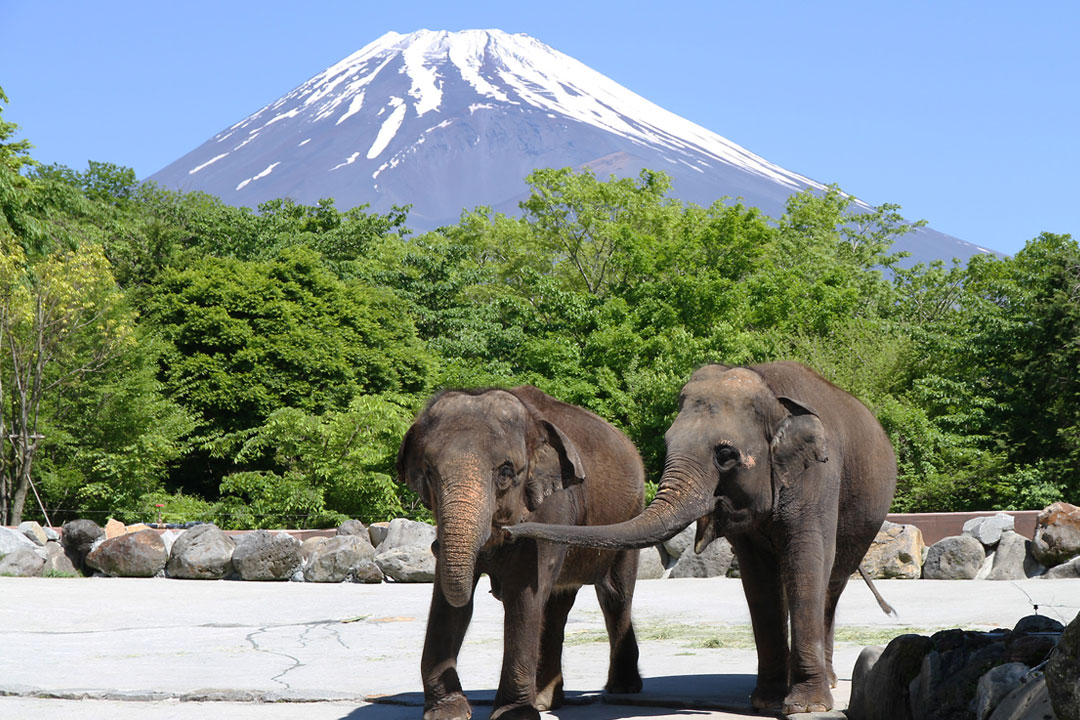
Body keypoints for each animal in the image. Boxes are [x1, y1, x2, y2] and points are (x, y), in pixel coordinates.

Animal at [401, 386, 643, 720]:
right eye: (428, 472)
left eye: (505, 472)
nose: (434, 545)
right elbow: (448, 602)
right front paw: (447, 712)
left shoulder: (552, 511)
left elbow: (523, 597)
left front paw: (514, 715)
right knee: (557, 606)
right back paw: (546, 699)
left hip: (631, 516)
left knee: (615, 596)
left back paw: (622, 689)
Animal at [505, 362, 894, 716]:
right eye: (666, 443)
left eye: (726, 455)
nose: (509, 530)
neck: (771, 392)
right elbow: (758, 579)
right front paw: (766, 702)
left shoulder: (818, 476)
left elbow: (805, 562)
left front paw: (805, 707)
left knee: (831, 584)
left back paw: (827, 682)